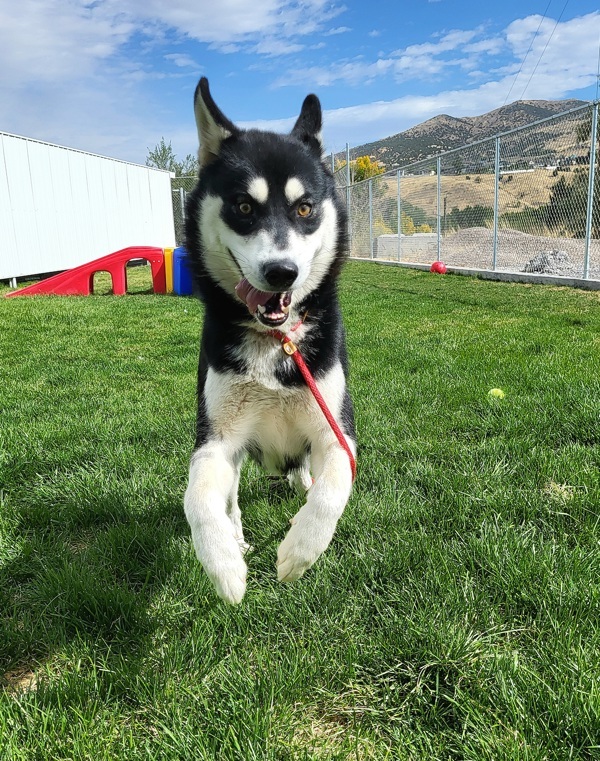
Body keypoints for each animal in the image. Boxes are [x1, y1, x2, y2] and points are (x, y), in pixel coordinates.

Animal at [180, 78, 354, 604]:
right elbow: (198, 499)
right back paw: (235, 537)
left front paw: (301, 550)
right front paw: (223, 565)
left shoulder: (337, 431)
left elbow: (334, 487)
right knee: (230, 499)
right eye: (242, 206)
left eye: (305, 208)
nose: (282, 272)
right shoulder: (216, 439)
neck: (275, 342)